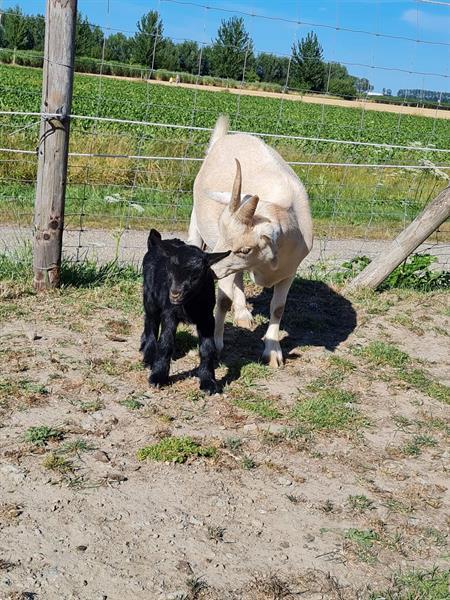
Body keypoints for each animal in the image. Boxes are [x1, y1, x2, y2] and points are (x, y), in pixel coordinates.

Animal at [187, 113, 312, 366]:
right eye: (221, 232)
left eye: (245, 249)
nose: (208, 270)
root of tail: (224, 139)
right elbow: (222, 300)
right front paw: (215, 347)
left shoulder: (289, 271)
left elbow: (278, 308)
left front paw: (273, 352)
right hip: (196, 221)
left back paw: (244, 313)